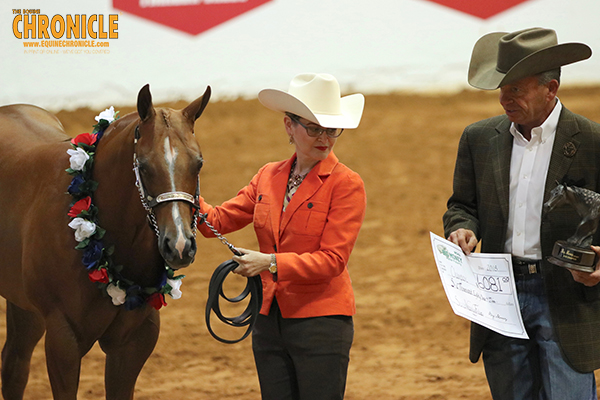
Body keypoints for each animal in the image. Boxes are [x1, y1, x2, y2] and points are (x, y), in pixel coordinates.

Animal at [0, 83, 212, 396]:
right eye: (144, 166)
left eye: (198, 163)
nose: (179, 245)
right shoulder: (63, 338)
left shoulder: (133, 342)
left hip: (25, 306)